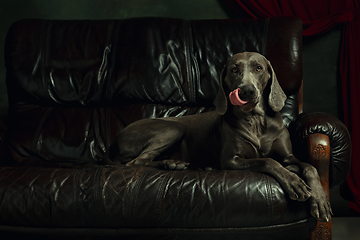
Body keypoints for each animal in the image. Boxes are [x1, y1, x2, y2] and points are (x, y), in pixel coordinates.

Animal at [105, 51, 334, 222]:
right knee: (135, 162)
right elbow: (268, 161)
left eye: (258, 68)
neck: (255, 121)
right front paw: (294, 182)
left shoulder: (288, 156)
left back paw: (177, 164)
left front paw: (320, 200)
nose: (247, 91)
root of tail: (114, 143)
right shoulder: (231, 160)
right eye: (234, 70)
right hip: (173, 128)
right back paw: (173, 164)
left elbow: (310, 167)